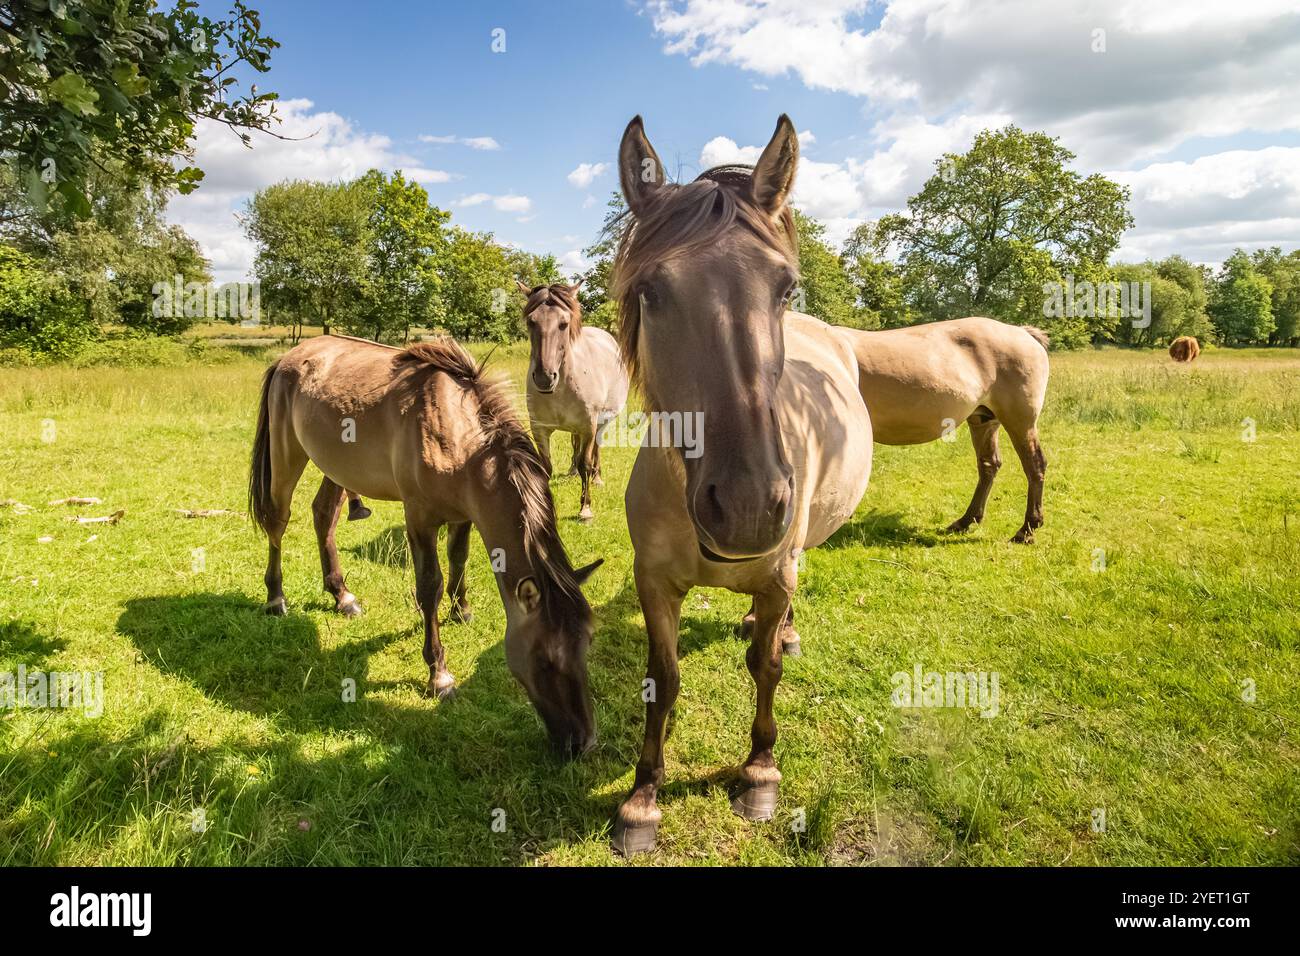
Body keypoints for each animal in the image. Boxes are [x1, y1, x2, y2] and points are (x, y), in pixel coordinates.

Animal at [247, 334, 602, 755]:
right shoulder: (419, 519)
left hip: (335, 466)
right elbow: (429, 585)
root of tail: (290, 356)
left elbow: (459, 559)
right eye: (546, 659)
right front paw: (439, 674)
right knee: (278, 521)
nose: (582, 742)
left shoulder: (464, 515)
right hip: (286, 456)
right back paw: (275, 597)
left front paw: (461, 610)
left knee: (323, 516)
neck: (457, 432)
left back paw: (342, 595)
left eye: (587, 644)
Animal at [520, 281, 629, 521]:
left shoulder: (588, 425)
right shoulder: (539, 428)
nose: (544, 377)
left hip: (601, 422)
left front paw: (585, 509)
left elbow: (585, 463)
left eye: (564, 324)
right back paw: (571, 472)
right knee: (575, 444)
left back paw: (597, 478)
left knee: (596, 448)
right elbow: (546, 466)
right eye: (531, 321)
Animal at [608, 116, 874, 855]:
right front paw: (642, 799)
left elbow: (766, 671)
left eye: (784, 289)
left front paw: (759, 771)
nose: (750, 508)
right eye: (651, 292)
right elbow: (662, 679)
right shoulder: (653, 581)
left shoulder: (778, 571)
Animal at [837, 320, 1050, 543]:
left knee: (1035, 465)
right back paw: (966, 521)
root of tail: (1023, 332)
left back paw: (1026, 529)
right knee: (989, 465)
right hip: (984, 421)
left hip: (1020, 422)